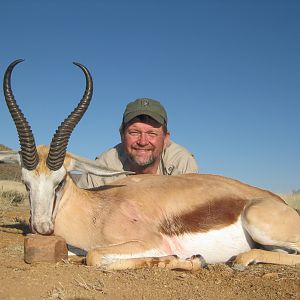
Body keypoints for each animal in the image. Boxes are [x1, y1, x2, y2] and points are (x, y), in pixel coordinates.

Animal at [1, 59, 300, 270]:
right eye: (26, 183)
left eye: (60, 181)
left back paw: (241, 259)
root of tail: (278, 202)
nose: (42, 228)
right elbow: (78, 255)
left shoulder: (149, 241)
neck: (98, 209)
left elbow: (94, 257)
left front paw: (186, 260)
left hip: (257, 222)